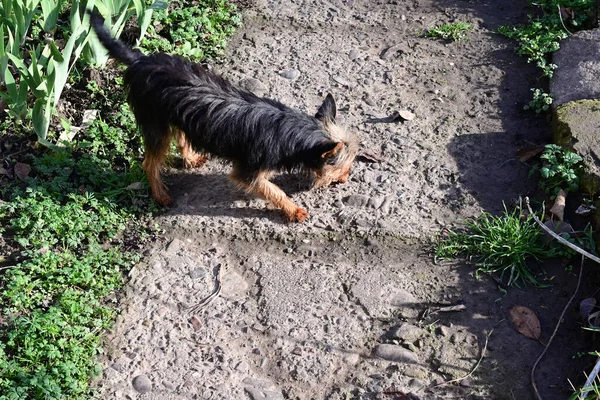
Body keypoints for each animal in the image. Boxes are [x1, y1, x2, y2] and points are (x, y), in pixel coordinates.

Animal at [89, 10, 356, 222]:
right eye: (344, 166)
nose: (347, 177)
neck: (291, 133)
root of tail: (140, 60)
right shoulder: (249, 172)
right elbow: (274, 190)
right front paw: (293, 210)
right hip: (155, 123)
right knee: (150, 162)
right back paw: (160, 194)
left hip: (173, 115)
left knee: (180, 135)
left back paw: (190, 158)